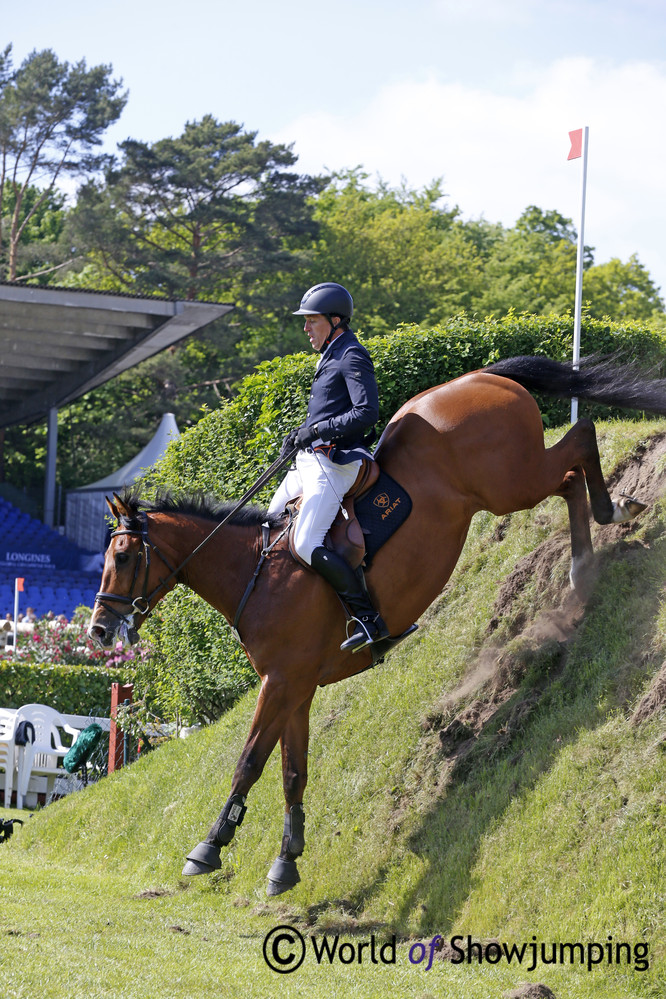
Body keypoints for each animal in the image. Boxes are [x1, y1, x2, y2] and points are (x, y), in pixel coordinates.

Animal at [89, 358, 664, 900]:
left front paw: (209, 846)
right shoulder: (297, 687)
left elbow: (249, 761)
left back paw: (610, 517)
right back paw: (590, 554)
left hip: (511, 481)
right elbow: (292, 772)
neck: (257, 571)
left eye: (123, 556)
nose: (98, 629)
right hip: (513, 484)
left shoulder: (281, 681)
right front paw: (287, 859)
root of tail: (481, 375)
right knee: (568, 478)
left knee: (580, 435)